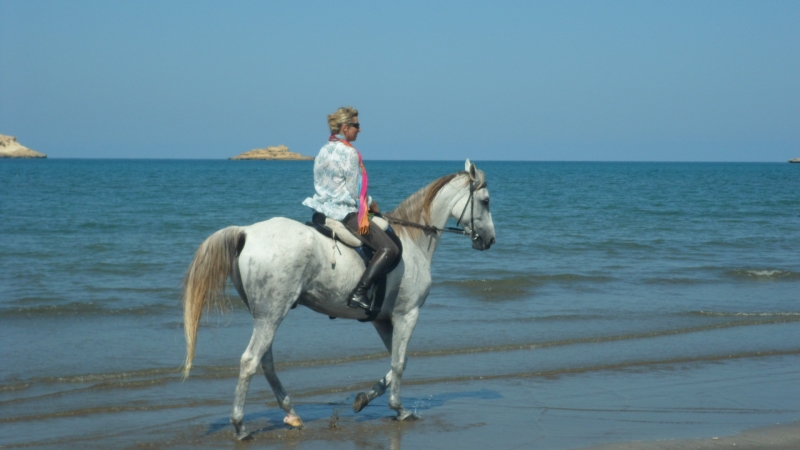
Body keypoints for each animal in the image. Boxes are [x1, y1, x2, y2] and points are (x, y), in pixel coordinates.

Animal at [182, 159, 494, 440]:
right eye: (486, 201)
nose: (489, 240)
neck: (413, 241)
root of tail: (247, 231)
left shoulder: (382, 320)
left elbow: (398, 360)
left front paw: (363, 399)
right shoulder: (407, 314)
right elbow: (399, 363)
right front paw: (400, 409)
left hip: (264, 314)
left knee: (265, 361)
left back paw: (292, 414)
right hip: (272, 313)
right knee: (250, 361)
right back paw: (240, 426)